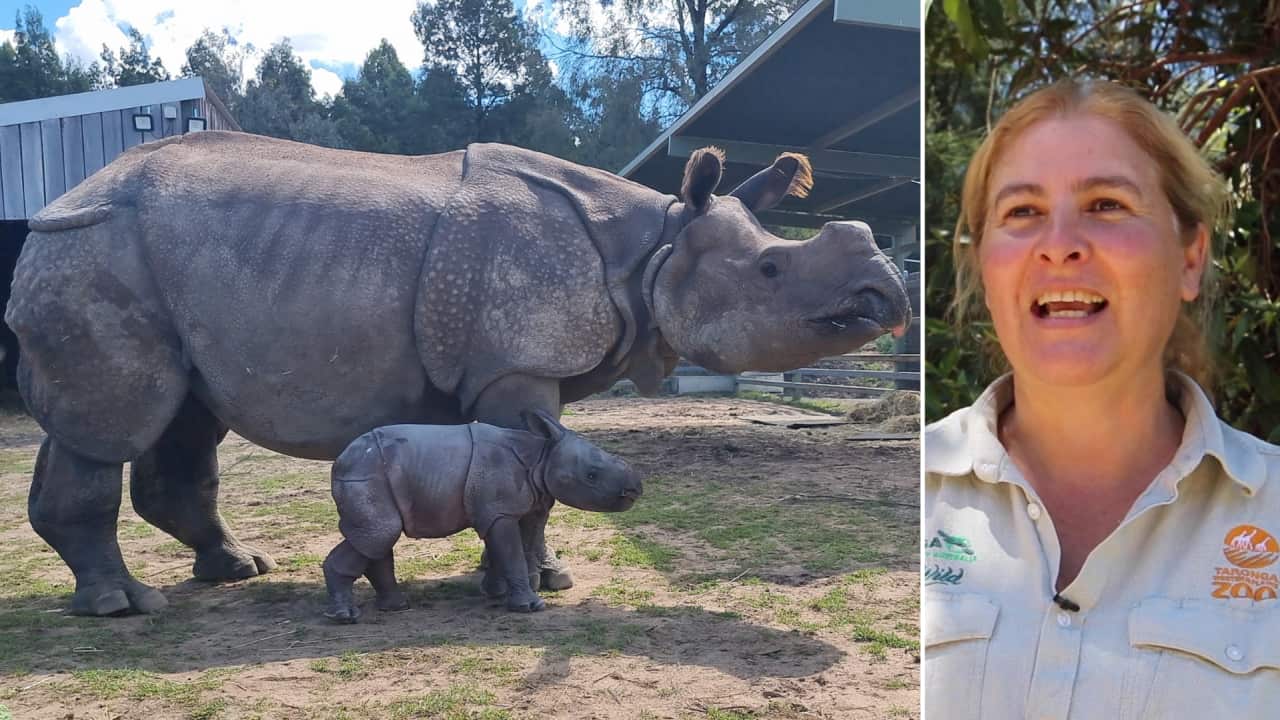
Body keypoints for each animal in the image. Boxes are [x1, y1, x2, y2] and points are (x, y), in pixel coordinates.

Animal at [323, 412, 641, 621]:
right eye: (591, 475)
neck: (541, 456)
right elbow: (512, 553)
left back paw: (397, 606)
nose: (635, 489)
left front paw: (495, 593)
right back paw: (346, 616)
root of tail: (340, 459)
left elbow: (517, 548)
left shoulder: (515, 506)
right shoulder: (499, 511)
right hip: (366, 473)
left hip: (372, 472)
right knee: (380, 534)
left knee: (378, 537)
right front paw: (530, 607)